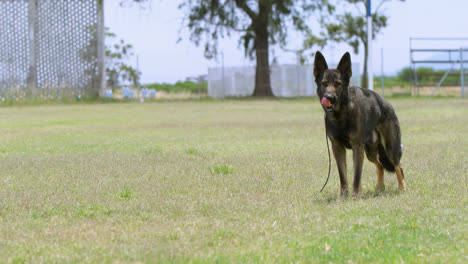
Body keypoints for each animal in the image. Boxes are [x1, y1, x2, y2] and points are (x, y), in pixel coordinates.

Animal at [314, 51, 406, 196]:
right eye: (324, 83)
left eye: (338, 84)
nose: (329, 97)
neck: (342, 114)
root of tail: (387, 104)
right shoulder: (337, 148)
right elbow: (343, 175)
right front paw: (343, 196)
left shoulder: (357, 146)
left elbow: (357, 175)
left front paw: (355, 195)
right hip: (370, 152)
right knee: (380, 165)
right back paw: (380, 187)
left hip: (391, 148)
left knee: (398, 166)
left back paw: (402, 187)